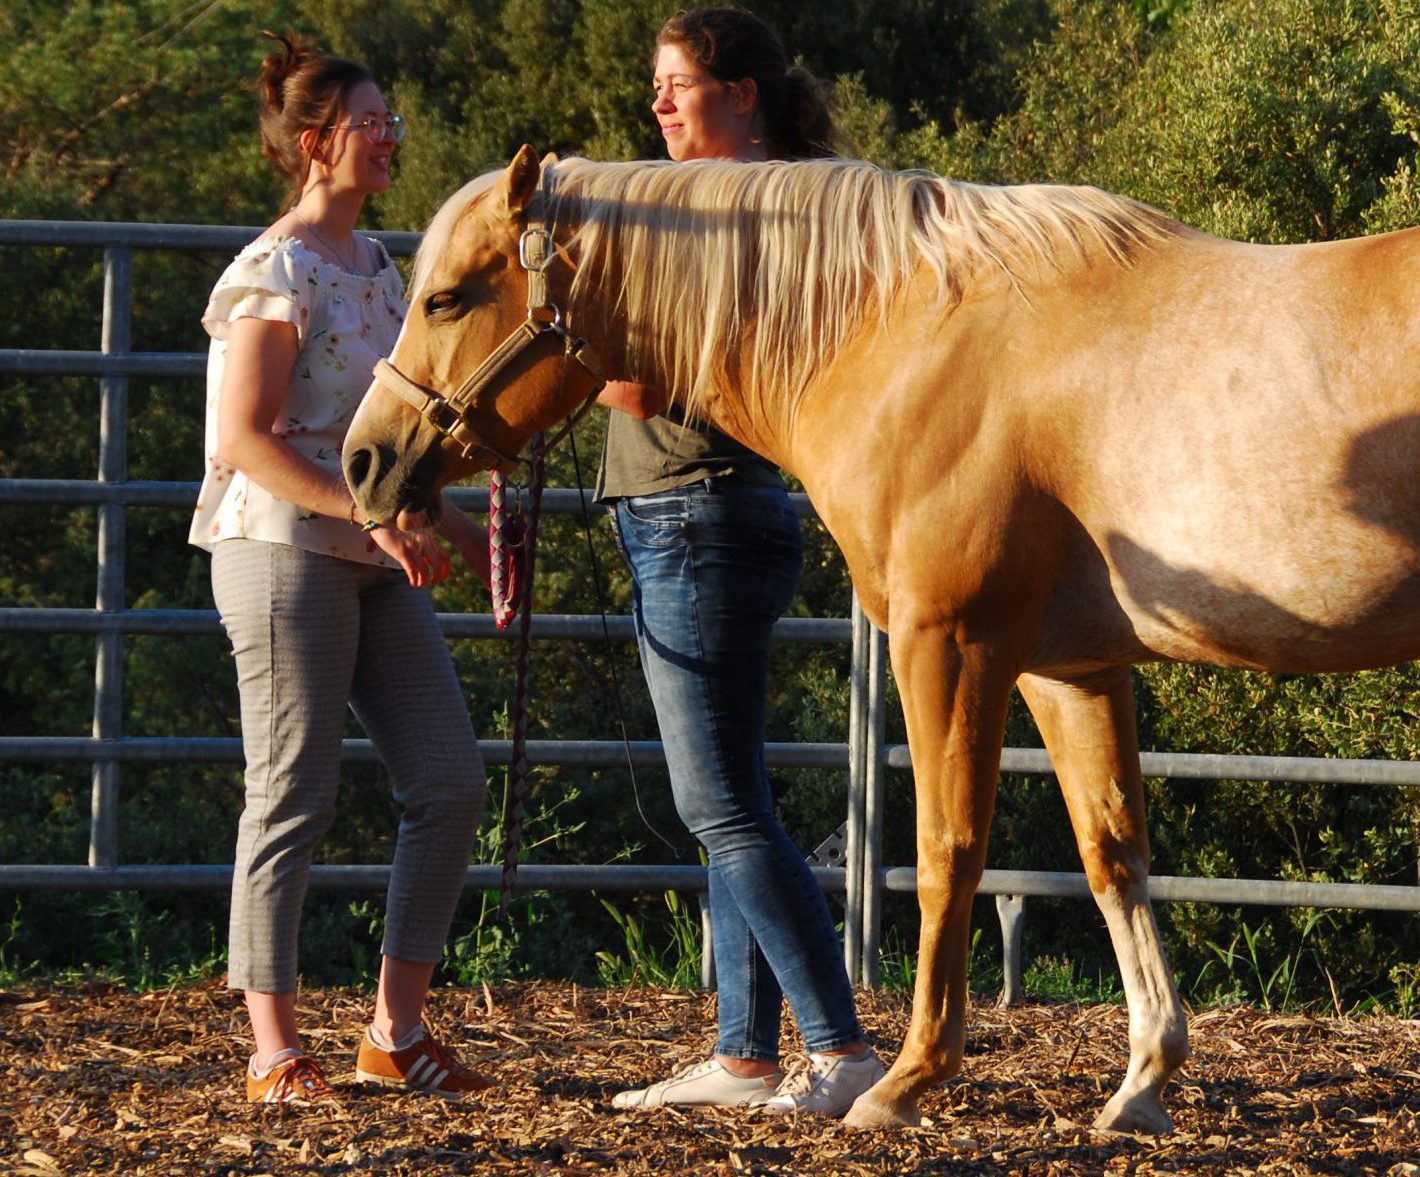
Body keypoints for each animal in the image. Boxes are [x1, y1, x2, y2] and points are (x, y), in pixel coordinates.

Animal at [340, 144, 1420, 1130]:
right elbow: (1113, 850)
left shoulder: (949, 641)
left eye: (446, 298)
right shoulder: (1070, 665)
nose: (364, 460)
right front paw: (1142, 1083)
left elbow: (948, 849)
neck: (905, 332)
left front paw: (904, 1081)